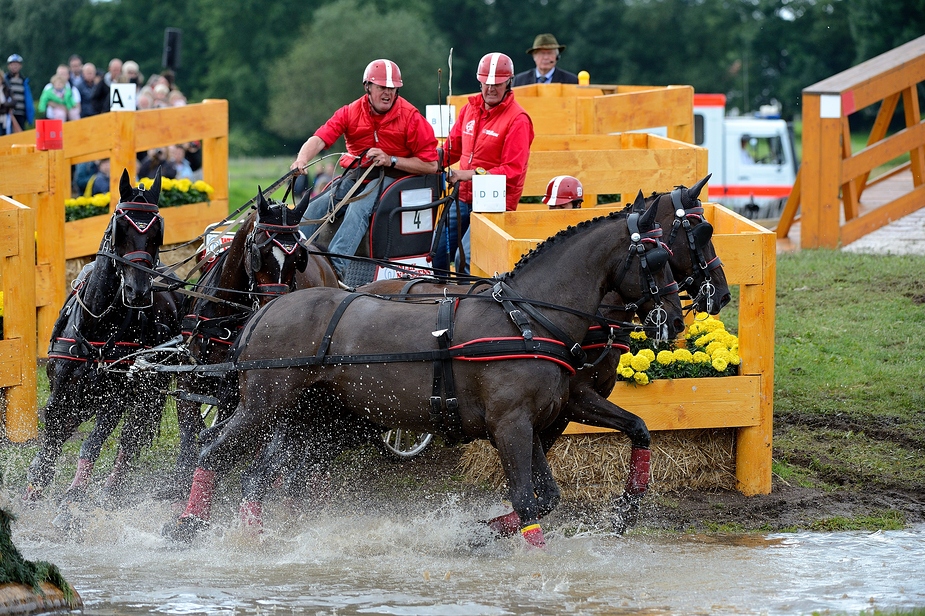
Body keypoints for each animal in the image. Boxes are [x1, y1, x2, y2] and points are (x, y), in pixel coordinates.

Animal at [24, 170, 180, 506]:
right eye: (120, 228)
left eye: (156, 233)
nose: (138, 291)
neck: (96, 327)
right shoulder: (60, 394)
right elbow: (51, 442)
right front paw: (34, 487)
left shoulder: (115, 400)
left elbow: (93, 443)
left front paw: (74, 495)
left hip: (149, 391)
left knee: (131, 437)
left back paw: (111, 489)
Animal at [164, 196, 684, 544]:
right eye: (658, 258)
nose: (677, 320)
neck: (527, 319)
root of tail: (263, 311)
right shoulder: (511, 424)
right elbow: (526, 500)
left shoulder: (536, 421)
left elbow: (547, 495)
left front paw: (482, 531)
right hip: (263, 409)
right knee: (212, 452)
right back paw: (187, 524)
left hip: (314, 419)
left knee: (261, 477)